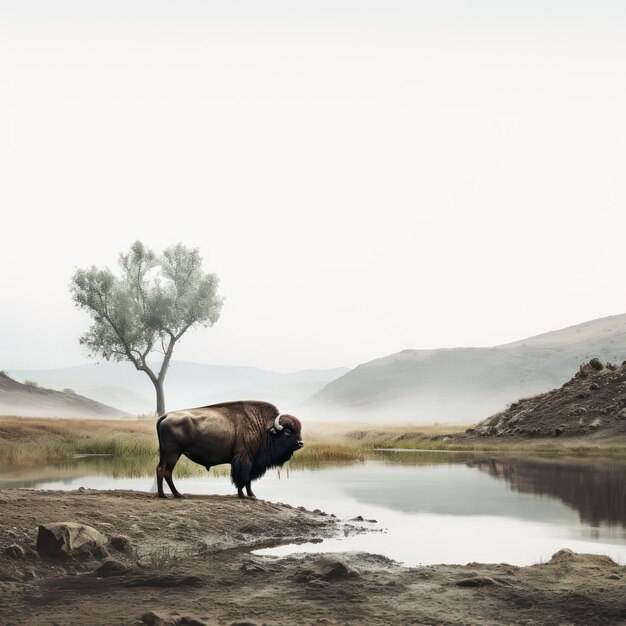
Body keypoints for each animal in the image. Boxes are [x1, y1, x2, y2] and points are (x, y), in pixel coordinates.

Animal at [156, 400, 302, 498]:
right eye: (288, 431)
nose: (301, 443)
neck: (264, 428)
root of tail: (166, 416)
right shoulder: (244, 460)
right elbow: (241, 478)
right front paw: (242, 495)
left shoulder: (253, 462)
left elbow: (248, 480)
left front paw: (251, 495)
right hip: (173, 454)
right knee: (166, 471)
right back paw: (175, 495)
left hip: (166, 454)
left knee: (160, 469)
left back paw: (164, 494)